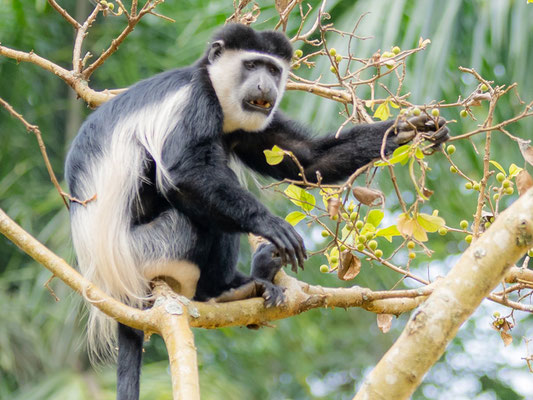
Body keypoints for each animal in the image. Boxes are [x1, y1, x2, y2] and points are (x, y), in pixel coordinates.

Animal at [66, 24, 448, 400]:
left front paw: (408, 128)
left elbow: (307, 159)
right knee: (199, 217)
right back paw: (228, 288)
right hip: (151, 246)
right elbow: (184, 172)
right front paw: (270, 225)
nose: (265, 84)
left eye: (273, 69)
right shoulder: (194, 101)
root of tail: (113, 281)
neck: (215, 87)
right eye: (251, 65)